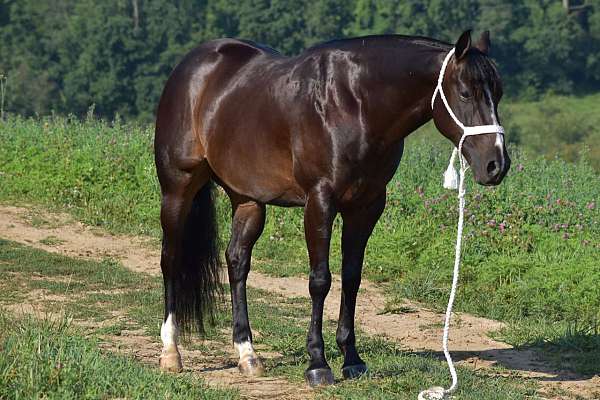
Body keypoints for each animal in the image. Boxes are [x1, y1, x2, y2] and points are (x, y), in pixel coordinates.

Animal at [152, 29, 508, 386]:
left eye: (499, 93)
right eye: (465, 93)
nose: (497, 165)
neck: (354, 104)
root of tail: (194, 66)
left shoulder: (366, 206)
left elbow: (351, 277)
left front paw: (352, 359)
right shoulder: (320, 201)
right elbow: (320, 280)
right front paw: (317, 363)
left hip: (247, 200)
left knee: (237, 262)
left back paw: (247, 354)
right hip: (177, 190)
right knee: (170, 259)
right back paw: (171, 352)